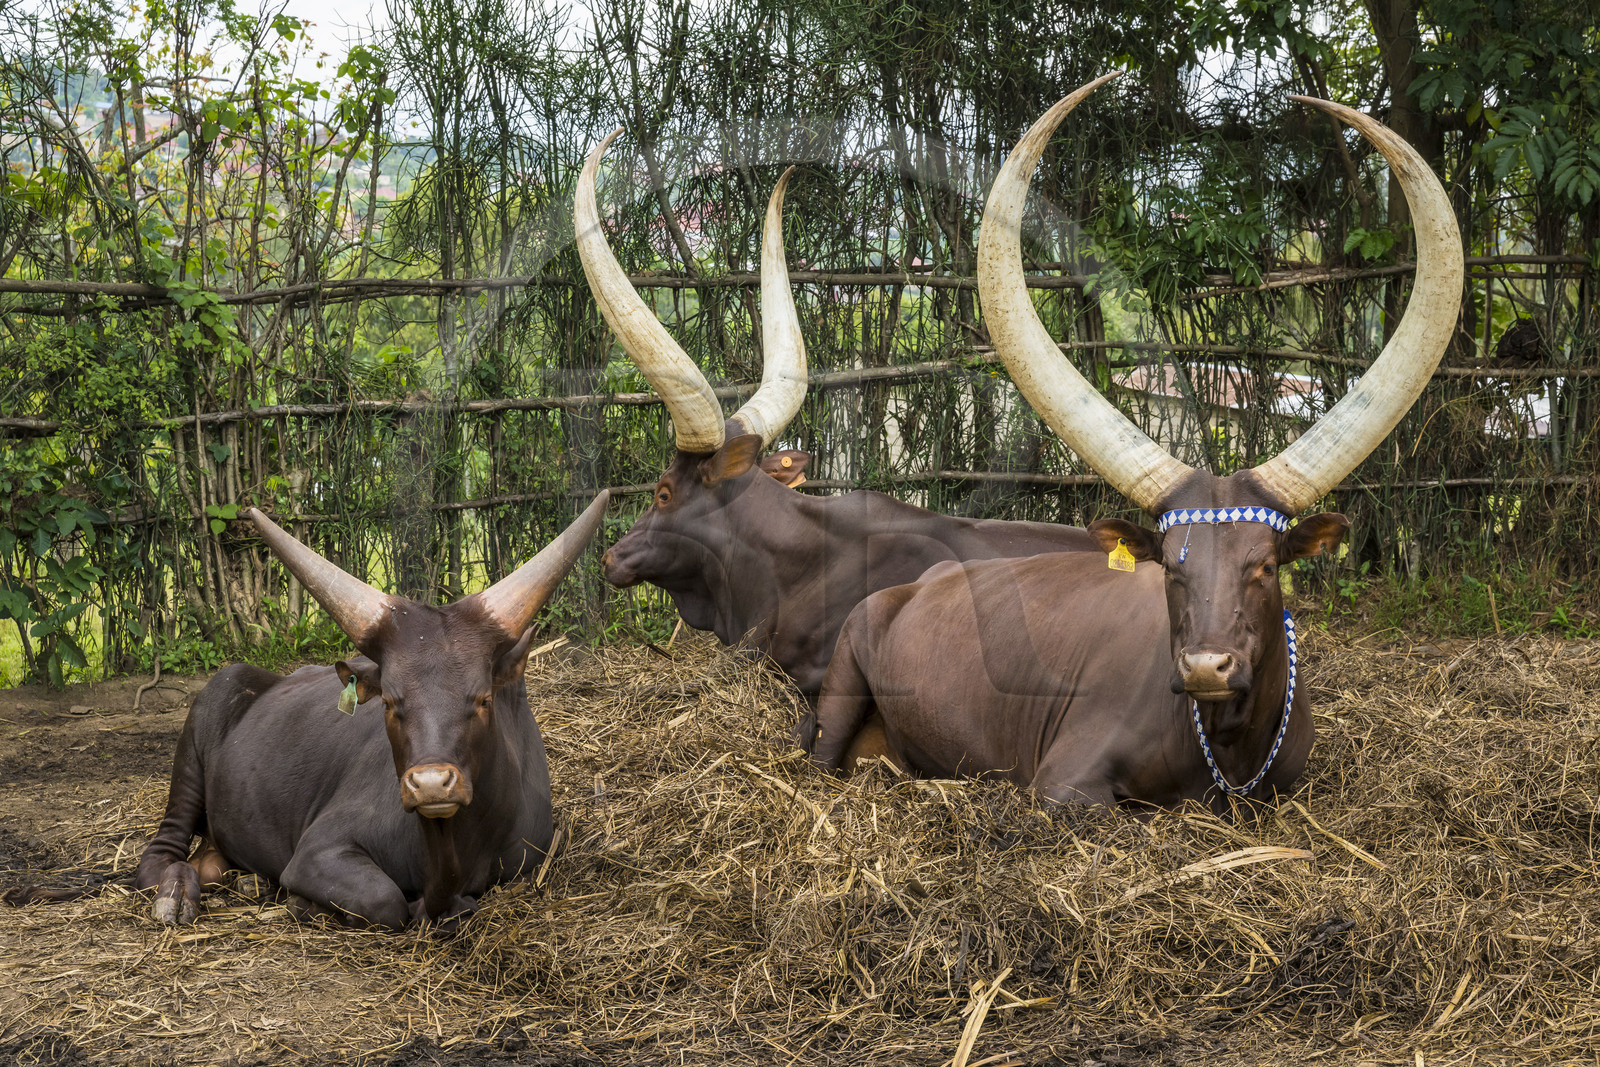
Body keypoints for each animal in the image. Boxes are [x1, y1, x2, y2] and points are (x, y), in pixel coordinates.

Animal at [132, 493, 609, 927]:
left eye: (483, 699)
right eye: (391, 701)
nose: (430, 785)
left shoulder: (530, 861)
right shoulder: (318, 850)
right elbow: (387, 902)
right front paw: (304, 903)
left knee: (210, 862)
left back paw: (250, 882)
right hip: (199, 736)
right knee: (159, 856)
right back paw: (175, 895)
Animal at [811, 78, 1463, 811]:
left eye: (1266, 566)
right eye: (1172, 570)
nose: (1206, 665)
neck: (1223, 746)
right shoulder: (1066, 781)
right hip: (841, 683)